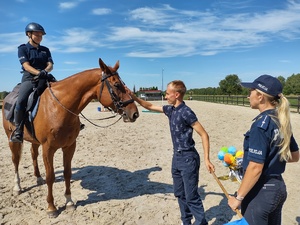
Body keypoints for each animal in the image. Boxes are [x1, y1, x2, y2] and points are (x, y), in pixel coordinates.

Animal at [1, 59, 139, 217]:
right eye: (116, 85)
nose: (135, 113)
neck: (58, 107)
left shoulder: (69, 146)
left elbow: (67, 173)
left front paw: (69, 202)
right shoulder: (48, 149)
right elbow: (50, 176)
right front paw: (51, 207)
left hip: (35, 141)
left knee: (33, 154)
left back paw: (38, 178)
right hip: (12, 139)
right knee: (16, 161)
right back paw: (17, 187)